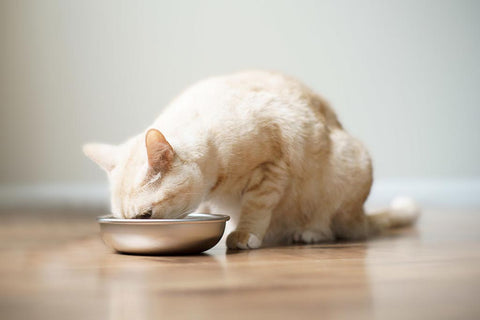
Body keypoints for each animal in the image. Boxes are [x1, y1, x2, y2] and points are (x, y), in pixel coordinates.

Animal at [84, 70, 418, 250]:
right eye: (124, 218)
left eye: (146, 216)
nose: (133, 229)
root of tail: (361, 214)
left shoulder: (272, 167)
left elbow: (255, 210)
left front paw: (243, 235)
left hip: (348, 169)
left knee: (329, 226)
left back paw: (308, 233)